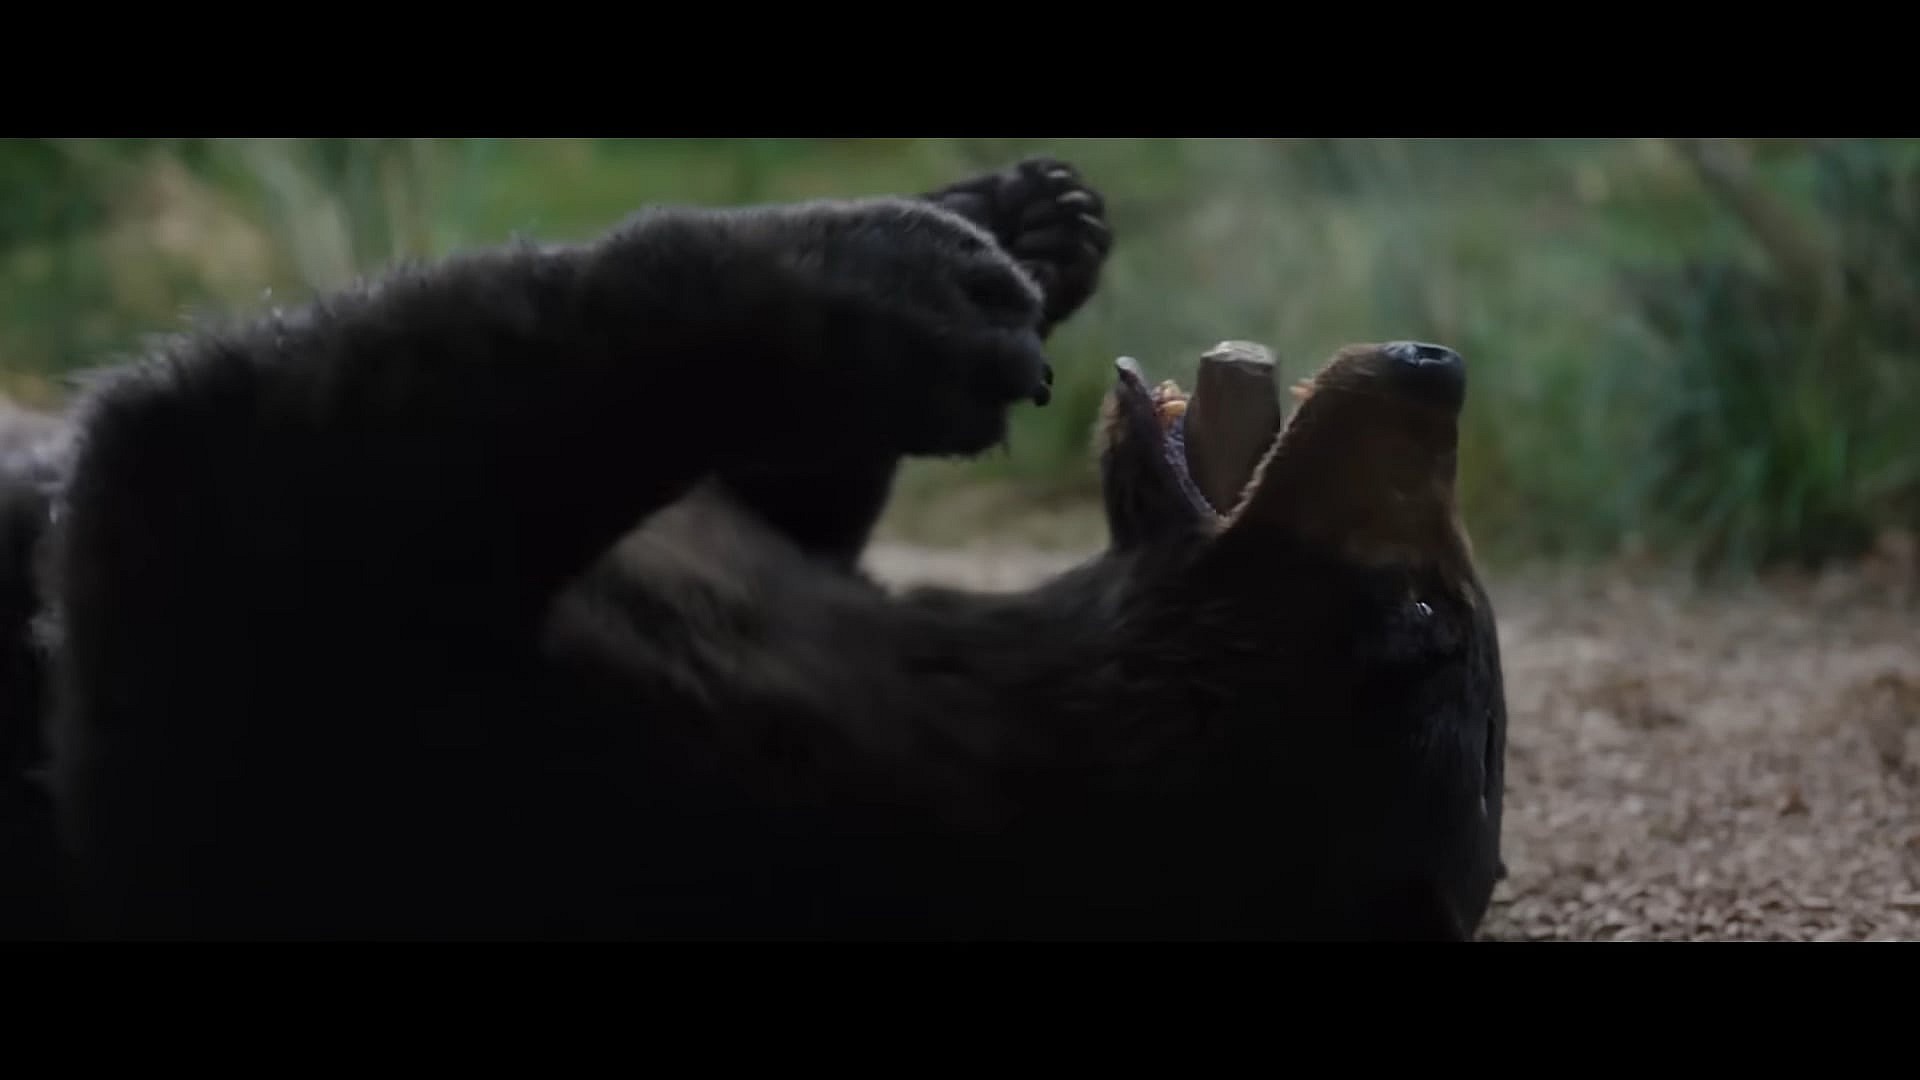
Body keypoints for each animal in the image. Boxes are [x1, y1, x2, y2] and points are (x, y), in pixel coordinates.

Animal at [30, 156, 1506, 941]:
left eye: (1437, 620)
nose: (1440, 368)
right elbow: (787, 506)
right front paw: (1021, 223)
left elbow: (252, 469)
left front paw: (888, 294)